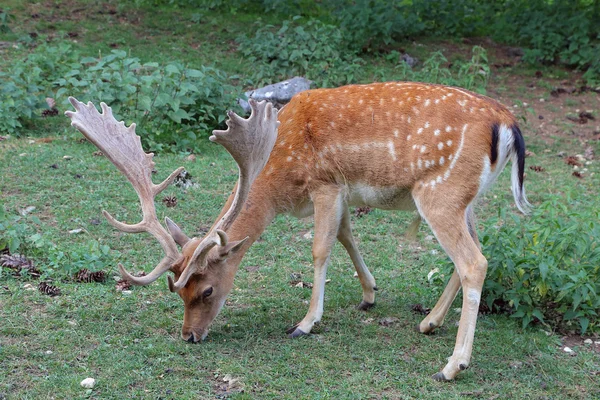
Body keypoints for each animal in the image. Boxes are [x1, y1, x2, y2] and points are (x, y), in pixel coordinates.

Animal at [67, 80, 528, 378]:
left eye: (207, 290)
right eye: (178, 292)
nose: (189, 337)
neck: (278, 177)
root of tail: (508, 123)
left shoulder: (325, 184)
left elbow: (321, 249)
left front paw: (305, 323)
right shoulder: (342, 193)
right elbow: (346, 235)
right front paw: (369, 294)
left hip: (440, 192)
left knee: (474, 261)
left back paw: (452, 366)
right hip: (466, 197)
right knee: (477, 250)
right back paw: (429, 322)